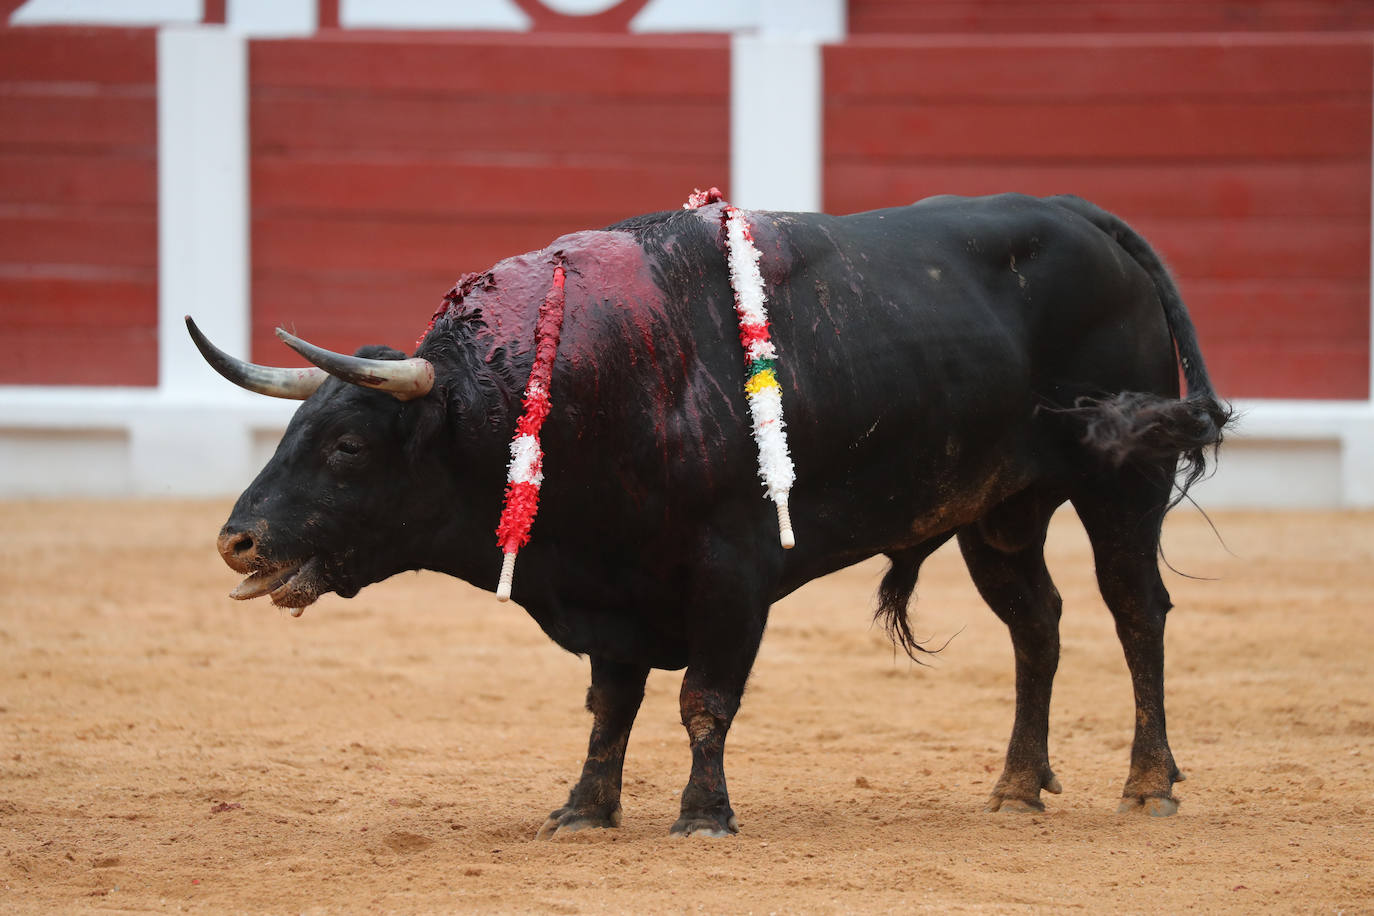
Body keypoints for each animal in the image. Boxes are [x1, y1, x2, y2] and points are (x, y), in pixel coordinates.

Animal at [188, 193, 1231, 840]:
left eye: (347, 446)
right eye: (297, 430)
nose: (239, 540)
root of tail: (1079, 215)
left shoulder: (734, 577)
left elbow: (703, 699)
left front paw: (702, 815)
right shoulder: (610, 585)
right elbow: (610, 705)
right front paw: (583, 810)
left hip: (1121, 484)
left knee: (1135, 612)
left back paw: (1148, 785)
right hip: (999, 510)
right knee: (1037, 626)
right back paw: (1016, 789)